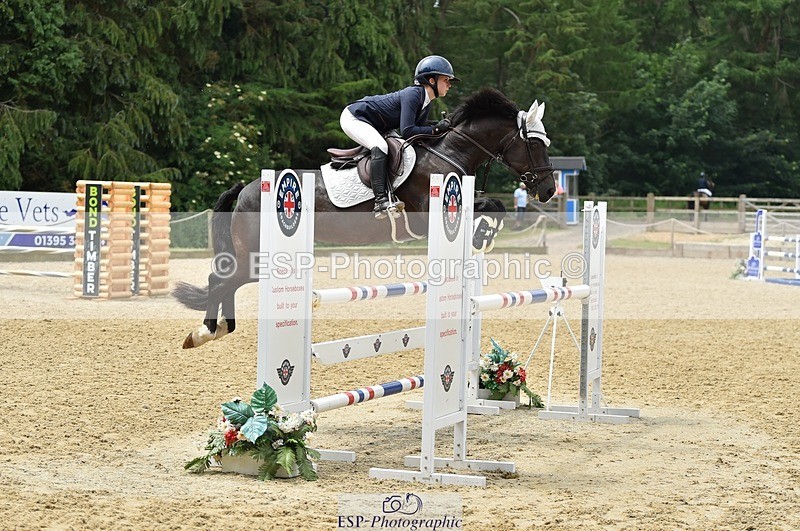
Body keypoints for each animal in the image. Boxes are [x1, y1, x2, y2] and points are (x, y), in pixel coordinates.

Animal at [174, 87, 556, 349]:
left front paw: (483, 235)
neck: (450, 151)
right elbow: (490, 204)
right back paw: (204, 332)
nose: (549, 190)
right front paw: (482, 234)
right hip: (257, 256)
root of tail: (247, 188)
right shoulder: (427, 213)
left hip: (259, 261)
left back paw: (221, 329)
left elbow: (494, 205)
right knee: (218, 280)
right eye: (536, 145)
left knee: (226, 281)